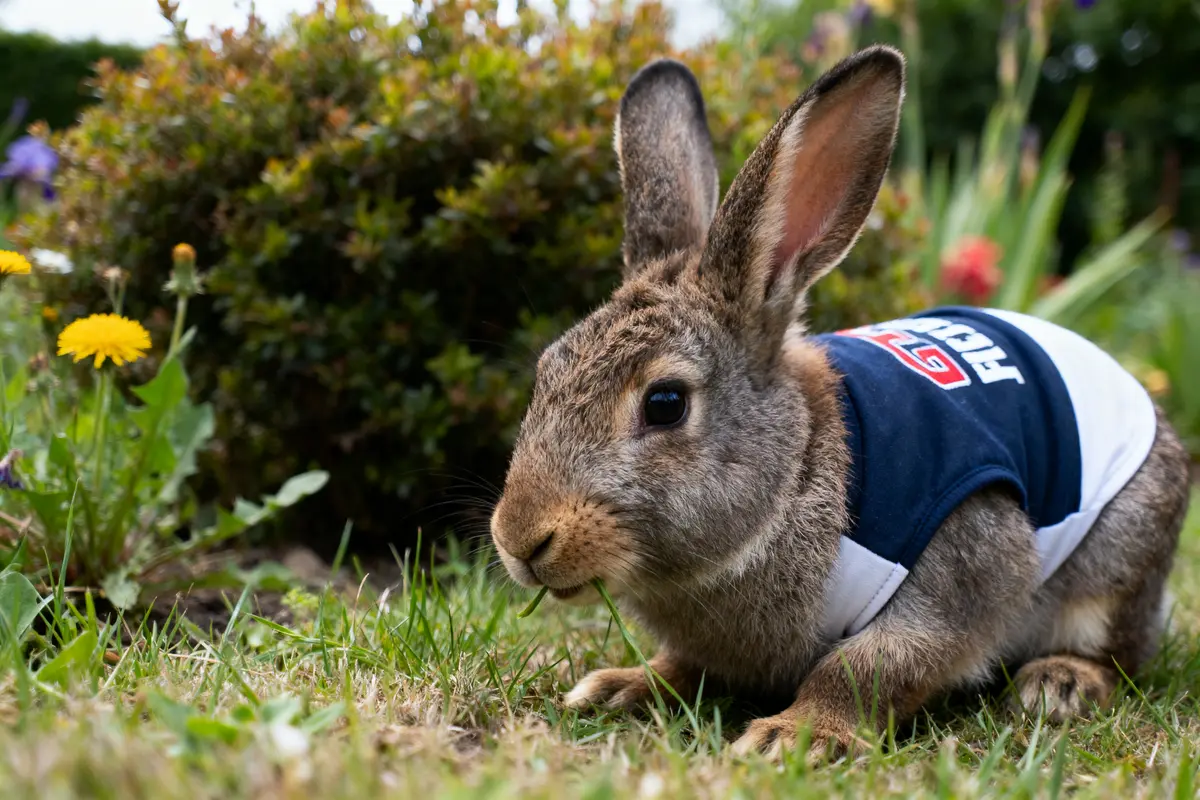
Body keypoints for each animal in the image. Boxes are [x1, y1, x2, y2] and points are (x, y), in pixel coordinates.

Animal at [488, 45, 1193, 761]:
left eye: (665, 403)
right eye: (546, 370)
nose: (519, 539)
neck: (796, 469)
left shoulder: (963, 560)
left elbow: (874, 662)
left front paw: (795, 736)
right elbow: (686, 664)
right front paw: (621, 686)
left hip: (1116, 560)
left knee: (1118, 651)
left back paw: (1059, 683)